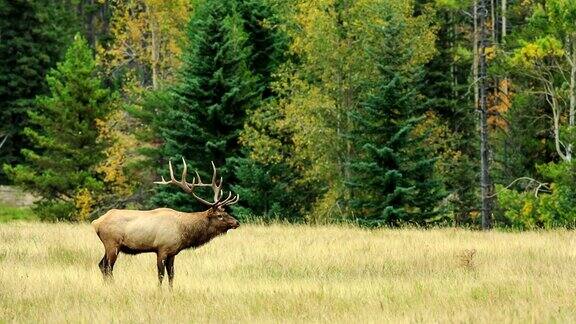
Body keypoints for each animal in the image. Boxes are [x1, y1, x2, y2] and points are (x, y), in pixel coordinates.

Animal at [91, 158, 240, 288]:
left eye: (226, 212)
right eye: (220, 216)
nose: (236, 222)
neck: (184, 231)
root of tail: (96, 222)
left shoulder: (173, 252)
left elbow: (172, 275)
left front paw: (171, 291)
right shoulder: (162, 248)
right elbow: (161, 274)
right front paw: (159, 290)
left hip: (111, 246)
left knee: (101, 265)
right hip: (112, 243)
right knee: (108, 267)